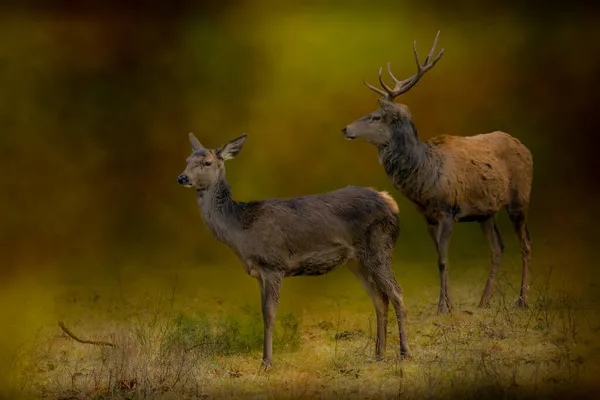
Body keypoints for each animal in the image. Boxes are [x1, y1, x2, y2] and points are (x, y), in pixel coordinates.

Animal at [178, 131, 410, 368]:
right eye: (187, 160)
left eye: (207, 162)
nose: (182, 178)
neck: (240, 230)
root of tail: (391, 202)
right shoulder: (259, 274)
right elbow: (262, 311)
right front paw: (265, 360)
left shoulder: (273, 265)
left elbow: (269, 313)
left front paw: (267, 363)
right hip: (356, 260)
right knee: (380, 298)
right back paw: (378, 355)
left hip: (379, 247)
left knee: (397, 293)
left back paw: (404, 353)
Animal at [342, 30, 536, 312]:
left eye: (376, 116)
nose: (345, 129)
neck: (424, 177)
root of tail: (525, 147)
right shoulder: (428, 216)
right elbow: (440, 258)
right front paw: (448, 303)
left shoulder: (448, 209)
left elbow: (443, 260)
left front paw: (443, 306)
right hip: (485, 213)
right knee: (498, 247)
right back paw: (483, 302)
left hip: (519, 198)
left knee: (526, 245)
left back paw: (521, 300)